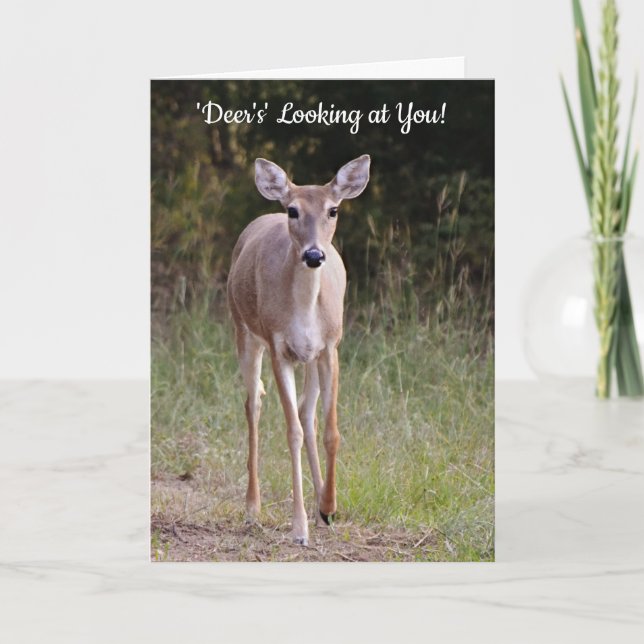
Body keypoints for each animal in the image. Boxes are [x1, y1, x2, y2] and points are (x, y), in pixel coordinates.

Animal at [227, 155, 370, 546]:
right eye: (292, 210)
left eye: (333, 210)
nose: (314, 254)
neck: (304, 310)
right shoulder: (279, 347)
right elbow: (291, 432)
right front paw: (299, 528)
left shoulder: (330, 347)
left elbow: (330, 430)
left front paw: (329, 506)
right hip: (243, 331)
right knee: (254, 404)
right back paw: (252, 508)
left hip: (310, 357)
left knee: (308, 412)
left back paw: (322, 506)